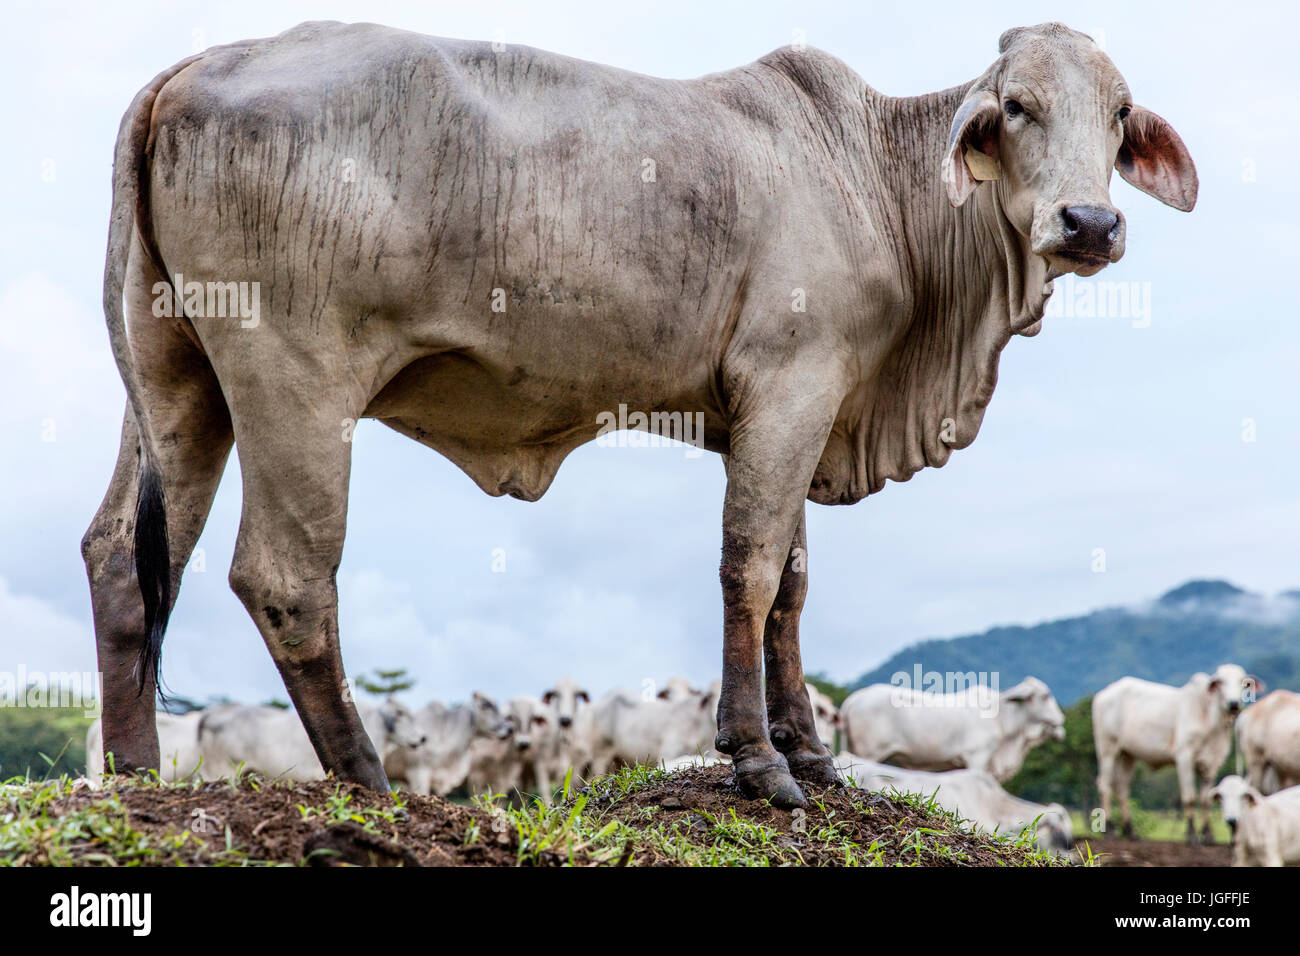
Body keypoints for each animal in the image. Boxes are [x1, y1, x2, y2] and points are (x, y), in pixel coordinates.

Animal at [1092, 665, 1253, 842]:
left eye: (1243, 682)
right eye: (1221, 682)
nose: (1233, 704)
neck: (1208, 717)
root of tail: (1102, 695)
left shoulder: (1212, 764)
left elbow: (1206, 799)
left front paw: (1208, 835)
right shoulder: (1184, 757)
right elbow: (1189, 797)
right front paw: (1192, 835)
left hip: (1127, 755)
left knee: (1122, 788)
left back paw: (1130, 831)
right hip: (1107, 749)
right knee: (1105, 785)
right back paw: (1110, 830)